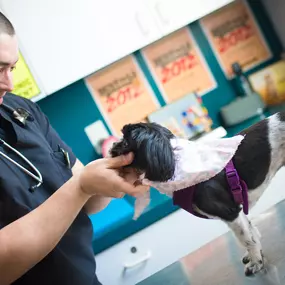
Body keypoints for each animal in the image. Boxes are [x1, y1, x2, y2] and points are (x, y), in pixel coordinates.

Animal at [108, 111, 284, 276]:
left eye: (125, 142)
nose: (112, 147)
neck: (175, 162)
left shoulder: (230, 212)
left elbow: (246, 238)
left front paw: (256, 261)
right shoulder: (239, 209)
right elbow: (251, 231)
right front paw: (255, 254)